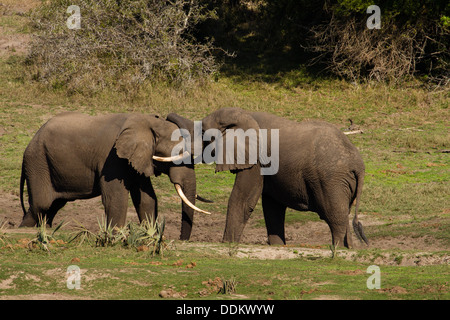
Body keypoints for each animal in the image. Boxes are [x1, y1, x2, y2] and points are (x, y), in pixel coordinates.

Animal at [18, 112, 212, 240]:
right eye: (176, 156)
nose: (181, 240)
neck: (147, 123)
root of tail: (31, 140)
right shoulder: (111, 158)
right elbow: (115, 197)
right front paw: (117, 236)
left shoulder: (137, 159)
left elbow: (146, 198)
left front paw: (151, 235)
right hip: (38, 162)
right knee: (41, 204)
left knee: (53, 206)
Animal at [169, 109, 370, 249]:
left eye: (203, 132)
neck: (243, 114)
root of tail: (358, 164)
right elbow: (272, 206)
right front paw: (278, 246)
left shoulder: (256, 159)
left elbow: (243, 199)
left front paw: (227, 244)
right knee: (343, 215)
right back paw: (349, 248)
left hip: (330, 180)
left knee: (335, 216)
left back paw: (337, 249)